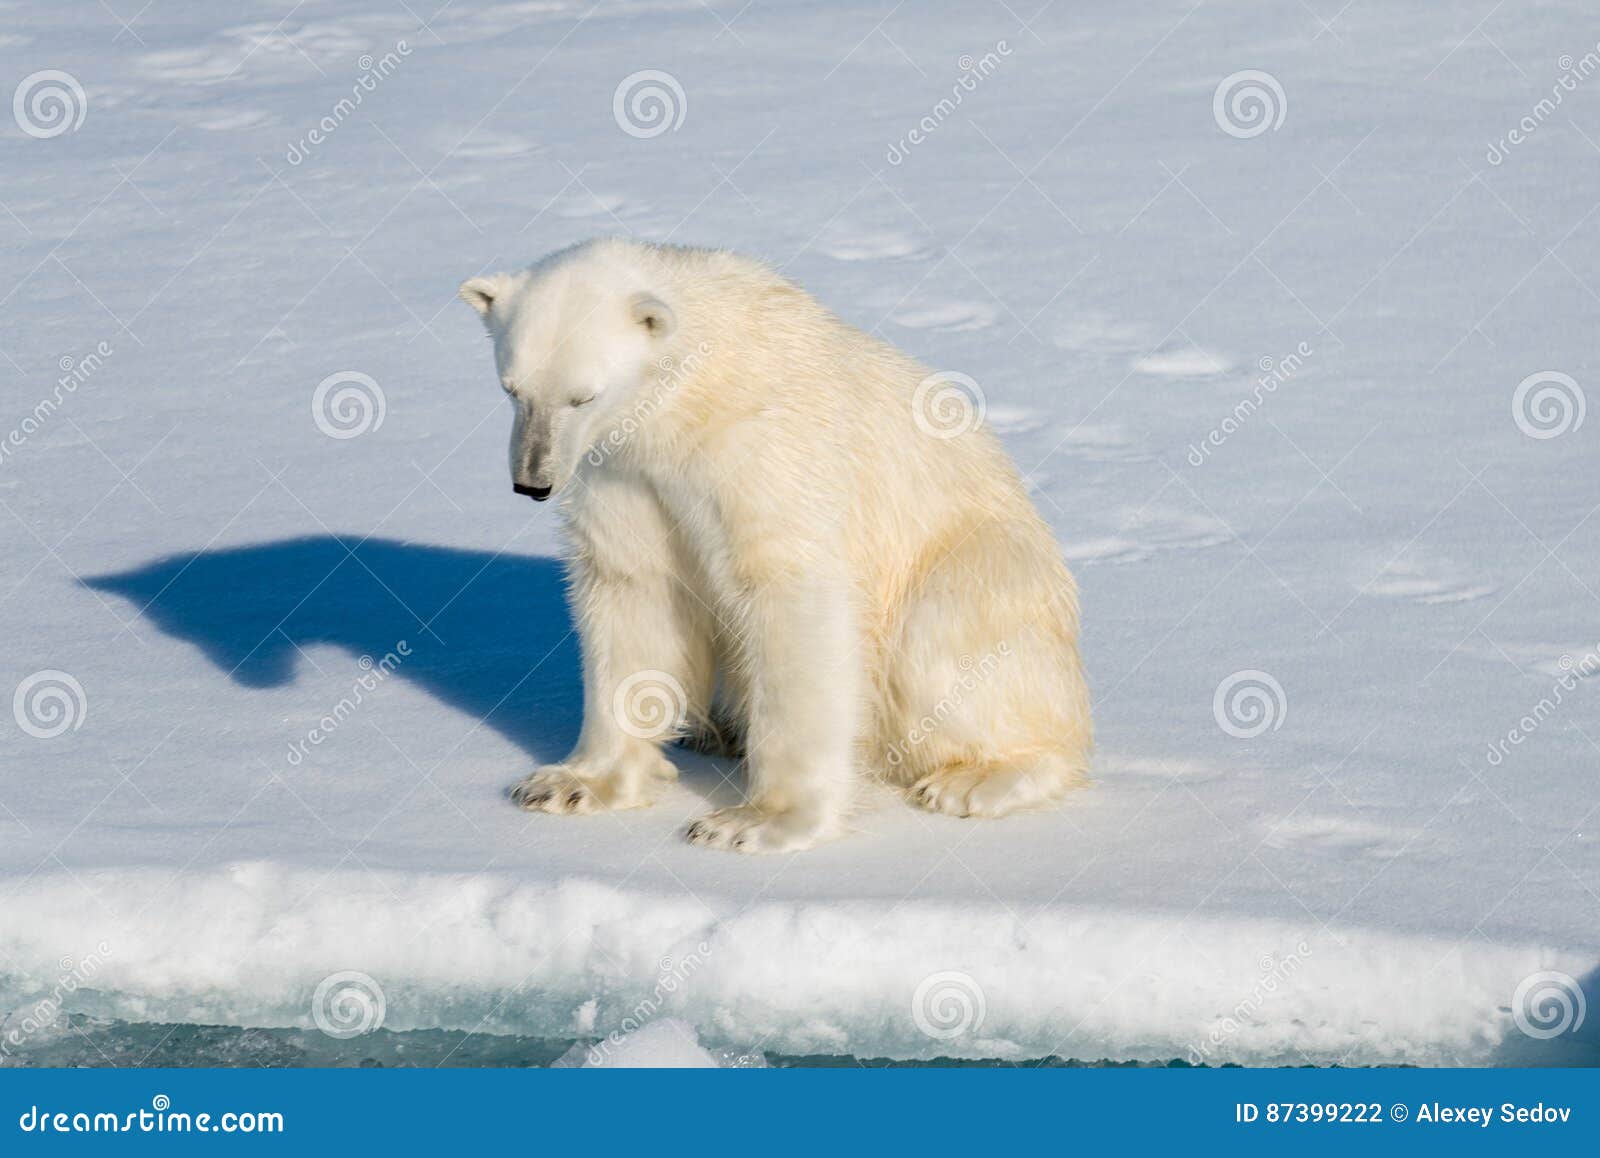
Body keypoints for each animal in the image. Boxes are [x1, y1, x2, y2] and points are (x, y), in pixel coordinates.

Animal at [459, 238, 1091, 852]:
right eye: (512, 390)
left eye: (583, 397)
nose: (532, 482)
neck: (693, 395)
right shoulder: (625, 473)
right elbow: (633, 590)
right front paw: (569, 784)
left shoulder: (762, 450)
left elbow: (791, 598)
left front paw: (752, 822)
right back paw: (714, 732)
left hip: (984, 571)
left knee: (941, 640)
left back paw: (976, 779)